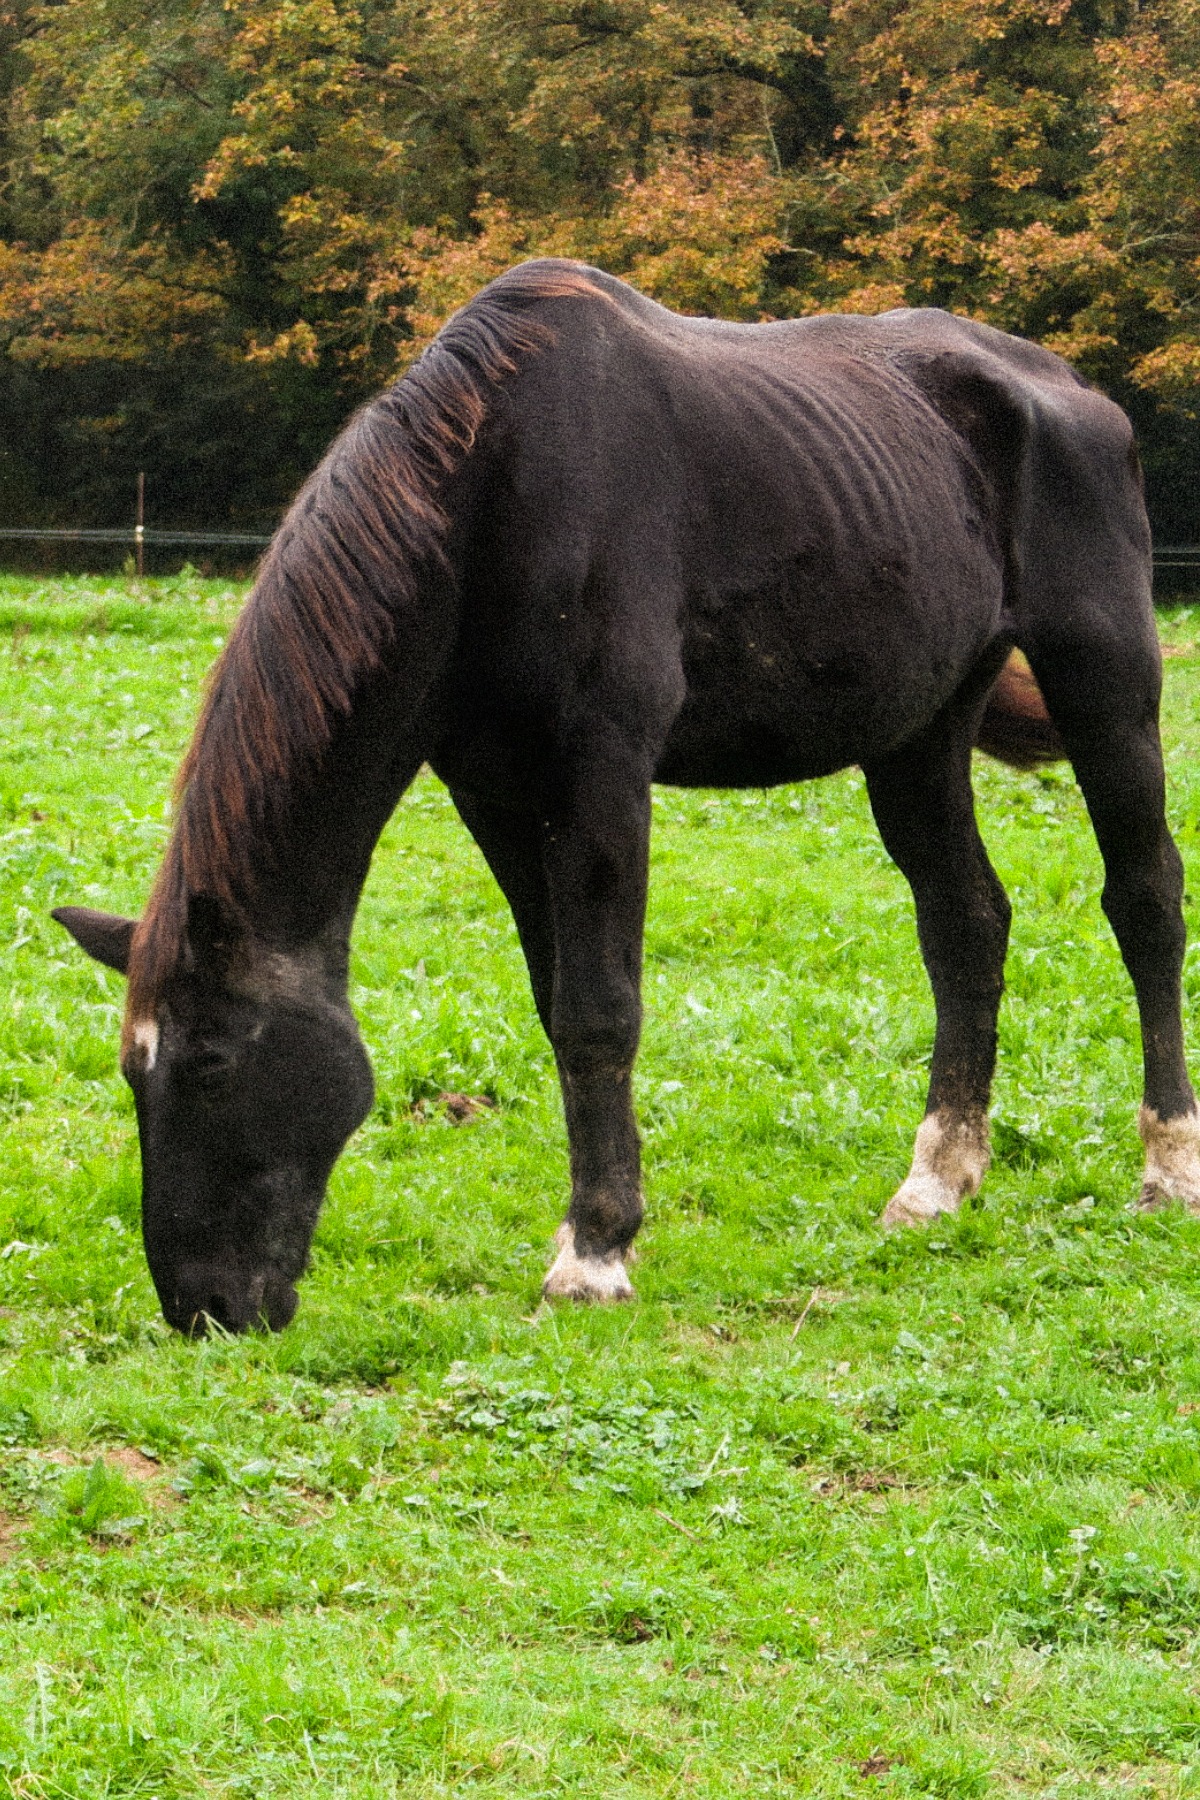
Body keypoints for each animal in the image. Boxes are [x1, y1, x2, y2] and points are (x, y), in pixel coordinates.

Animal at [52, 258, 1200, 1334]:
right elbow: (555, 1002)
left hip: (1105, 681)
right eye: (133, 1075)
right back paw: (938, 1181)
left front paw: (596, 1254)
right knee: (965, 924)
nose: (203, 1306)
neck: (491, 500)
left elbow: (600, 1011)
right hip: (919, 728)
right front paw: (586, 1227)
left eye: (209, 1063)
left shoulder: (601, 772)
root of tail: (1073, 393)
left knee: (1144, 900)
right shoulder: (495, 794)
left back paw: (1169, 1163)